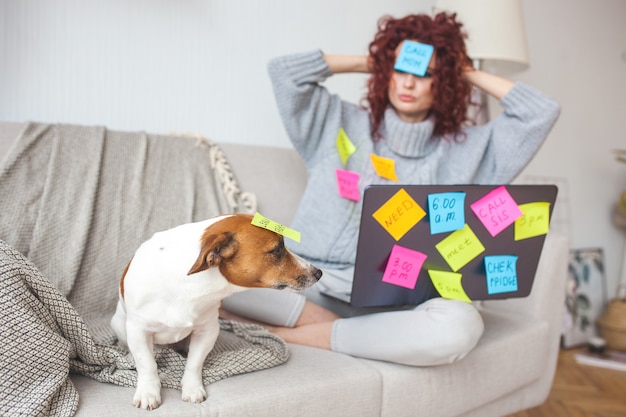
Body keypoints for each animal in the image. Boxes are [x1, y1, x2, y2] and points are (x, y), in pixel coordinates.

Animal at [109, 214, 320, 410]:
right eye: (277, 249)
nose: (319, 273)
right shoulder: (138, 330)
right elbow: (147, 365)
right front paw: (148, 392)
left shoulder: (208, 330)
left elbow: (194, 362)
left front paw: (192, 387)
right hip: (119, 324)